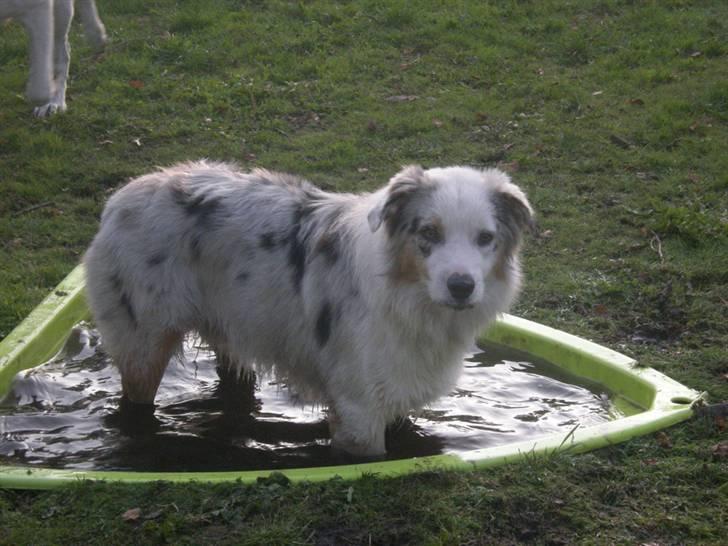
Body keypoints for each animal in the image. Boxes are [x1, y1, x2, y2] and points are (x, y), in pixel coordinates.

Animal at [85, 162, 536, 454]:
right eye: (429, 233)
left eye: (485, 238)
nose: (461, 286)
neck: (409, 299)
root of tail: (122, 196)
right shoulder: (358, 409)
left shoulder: (395, 390)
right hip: (143, 344)